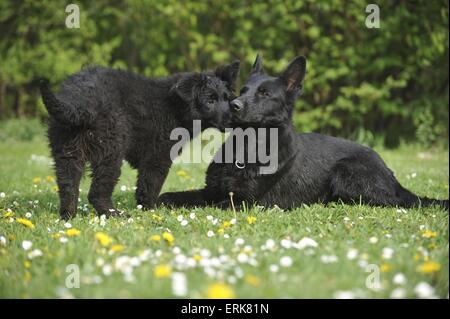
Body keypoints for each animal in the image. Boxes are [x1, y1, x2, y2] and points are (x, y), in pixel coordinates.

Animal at [40, 60, 241, 220]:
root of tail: (80, 100)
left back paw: (68, 216)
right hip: (111, 151)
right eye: (210, 101)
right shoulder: (158, 156)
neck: (175, 107)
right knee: (97, 193)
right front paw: (151, 210)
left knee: (68, 188)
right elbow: (150, 184)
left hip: (67, 152)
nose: (233, 118)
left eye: (226, 98)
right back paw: (115, 214)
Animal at [158, 56, 446, 211]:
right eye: (242, 91)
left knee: (392, 202)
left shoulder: (241, 201)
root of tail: (390, 174)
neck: (248, 146)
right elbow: (174, 196)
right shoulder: (213, 191)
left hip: (346, 173)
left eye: (265, 94)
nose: (233, 106)